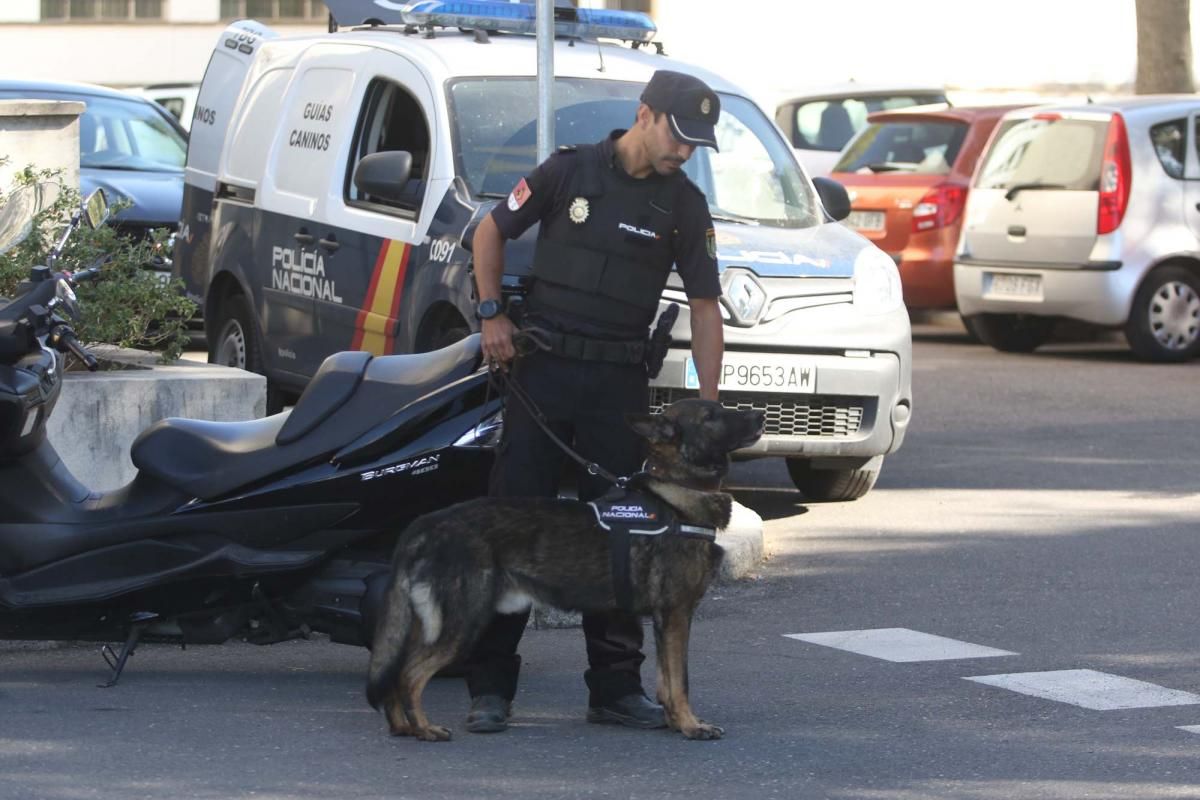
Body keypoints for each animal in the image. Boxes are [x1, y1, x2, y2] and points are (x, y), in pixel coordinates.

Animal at [360, 400, 763, 743]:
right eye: (711, 416)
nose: (759, 416)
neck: (677, 494)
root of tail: (428, 523)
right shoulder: (677, 616)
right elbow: (680, 681)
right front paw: (691, 726)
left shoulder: (668, 622)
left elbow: (667, 680)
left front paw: (676, 721)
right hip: (463, 625)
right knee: (410, 674)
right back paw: (424, 729)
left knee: (394, 673)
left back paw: (402, 727)